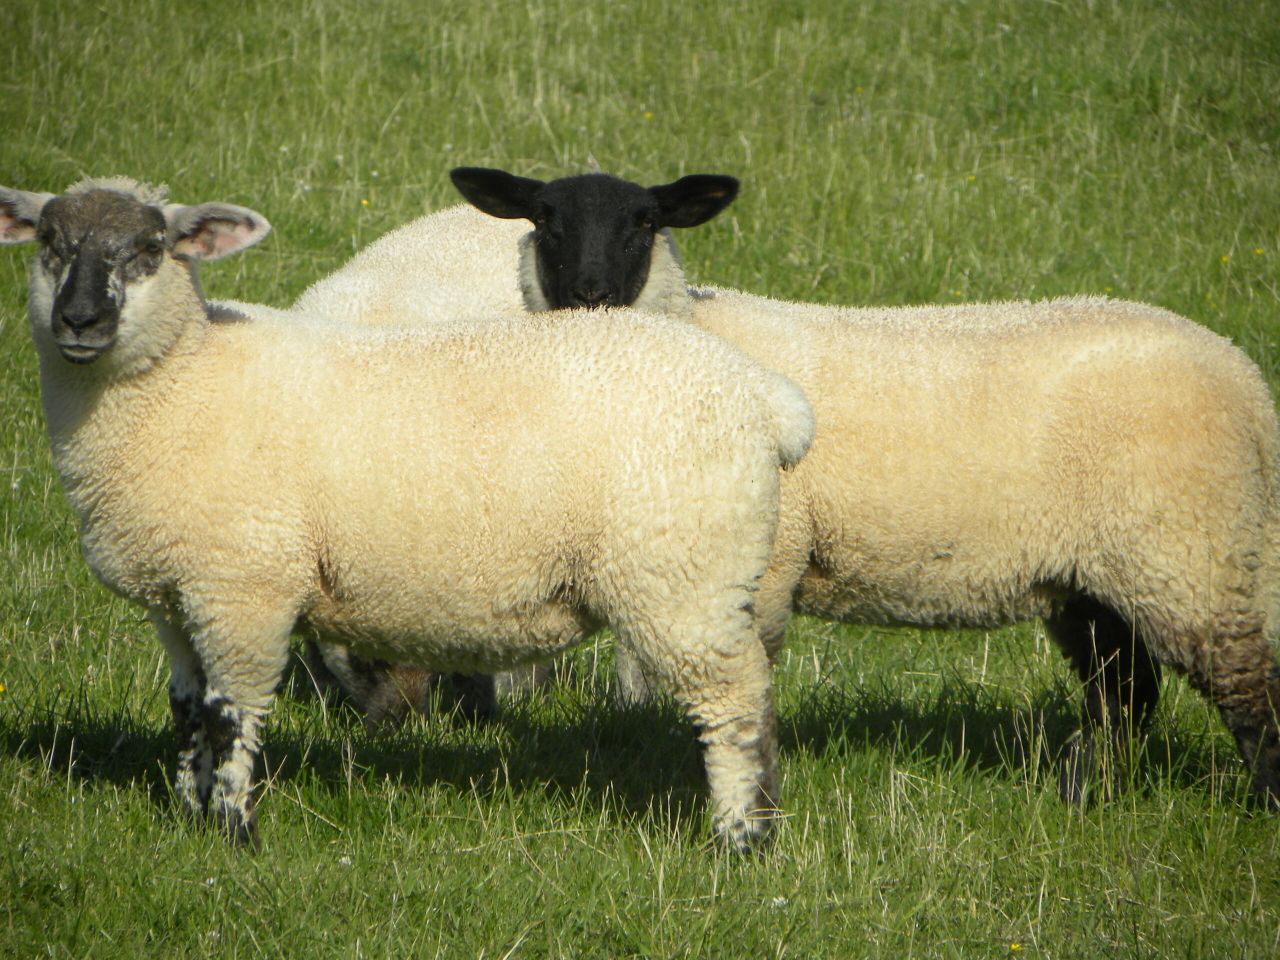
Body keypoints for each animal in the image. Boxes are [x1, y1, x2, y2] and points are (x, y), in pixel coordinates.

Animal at [0, 176, 818, 850]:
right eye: (49, 243)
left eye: (150, 249)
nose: (79, 319)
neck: (181, 385)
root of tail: (768, 400)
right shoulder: (176, 596)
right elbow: (188, 709)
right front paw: (188, 817)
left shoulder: (243, 591)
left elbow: (232, 713)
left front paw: (234, 832)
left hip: (684, 580)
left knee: (738, 707)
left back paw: (741, 840)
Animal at [416, 166, 1280, 807]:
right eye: (545, 218)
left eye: (645, 221)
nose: (589, 292)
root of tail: (1245, 380)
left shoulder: (762, 564)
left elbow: (744, 682)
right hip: (1097, 572)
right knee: (1122, 692)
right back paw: (1083, 796)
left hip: (1192, 552)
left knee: (1245, 692)